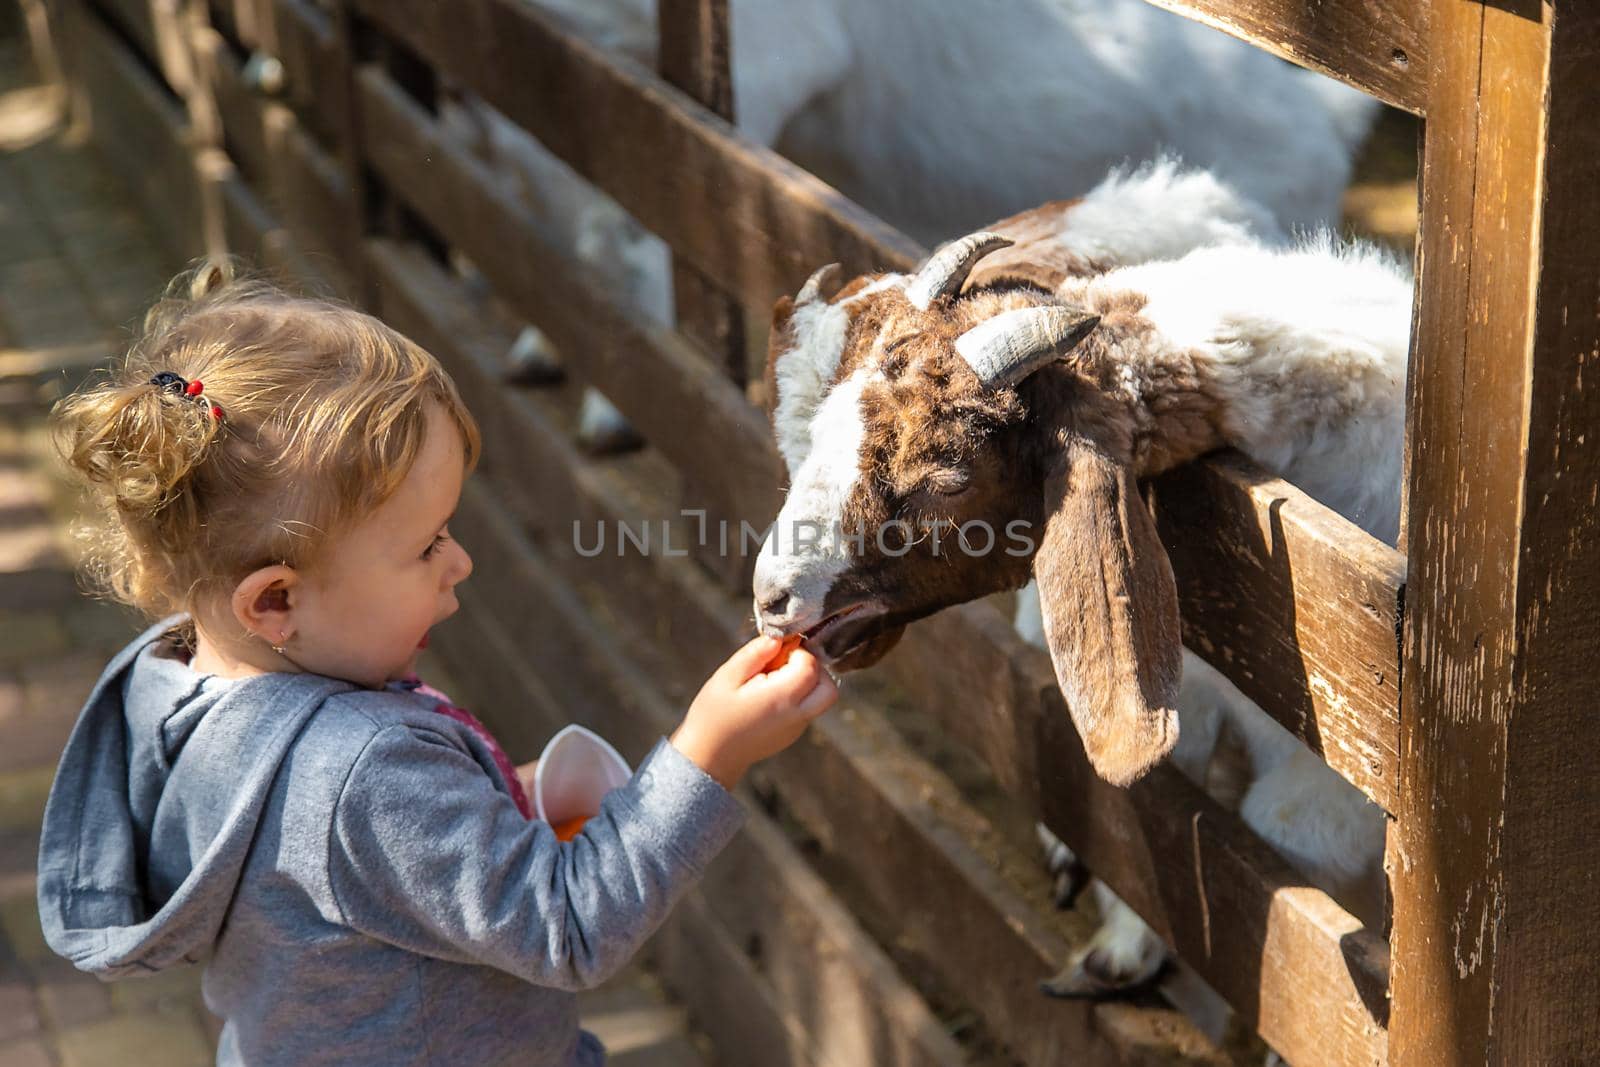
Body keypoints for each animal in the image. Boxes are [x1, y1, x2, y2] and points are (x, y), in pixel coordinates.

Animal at [742, 163, 1408, 1023]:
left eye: (946, 478)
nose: (773, 597)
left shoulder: (1354, 783)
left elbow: (1277, 855)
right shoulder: (1188, 679)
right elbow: (1164, 804)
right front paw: (1123, 947)